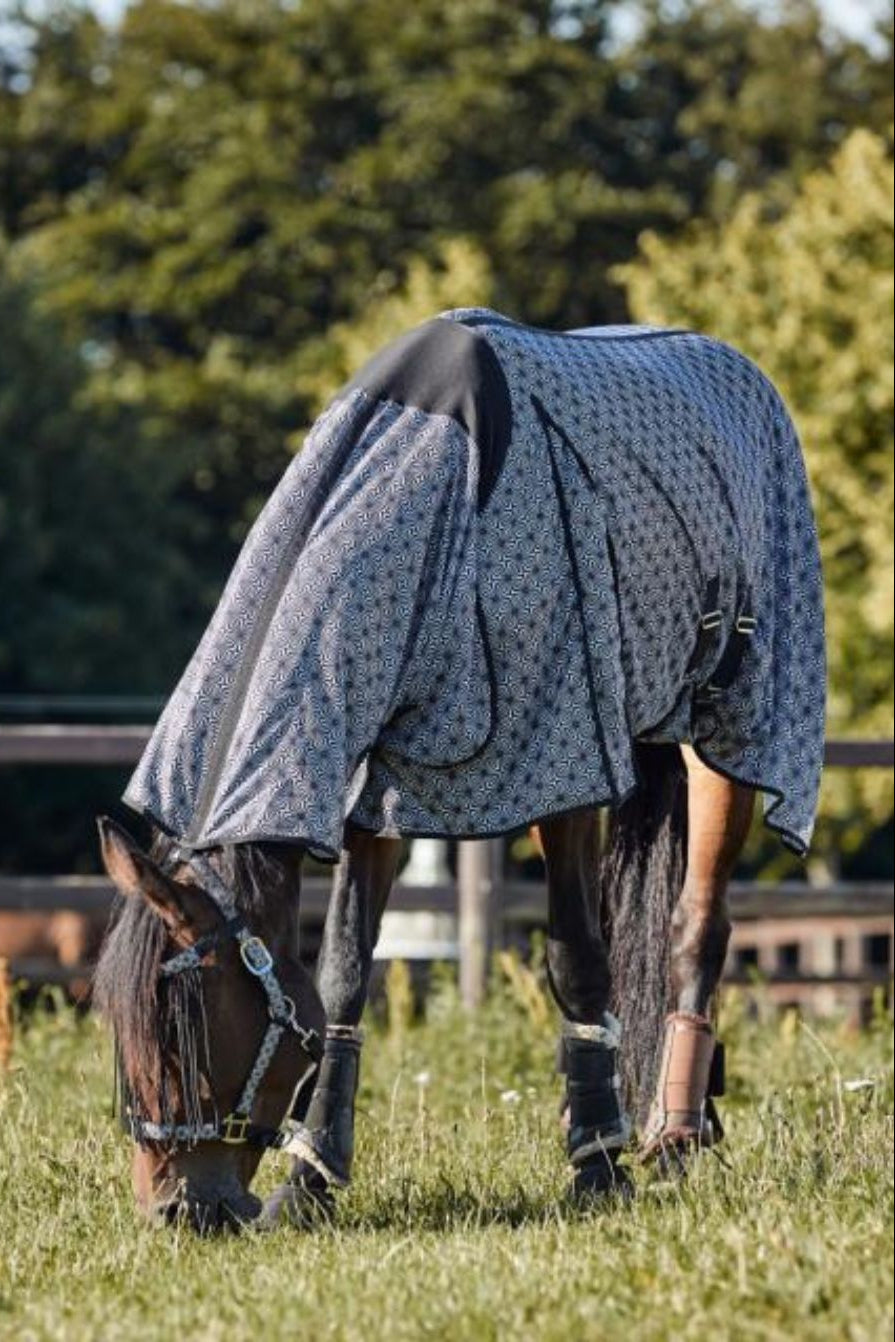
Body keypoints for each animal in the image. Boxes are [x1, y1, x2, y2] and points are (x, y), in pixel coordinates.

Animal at [94, 306, 825, 1230]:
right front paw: (311, 1178)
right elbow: (343, 968)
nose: (180, 1210)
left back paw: (672, 1136)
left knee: (697, 924)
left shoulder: (562, 762)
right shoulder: (378, 778)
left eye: (184, 1031)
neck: (432, 488)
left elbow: (575, 957)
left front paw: (597, 1166)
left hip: (726, 726)